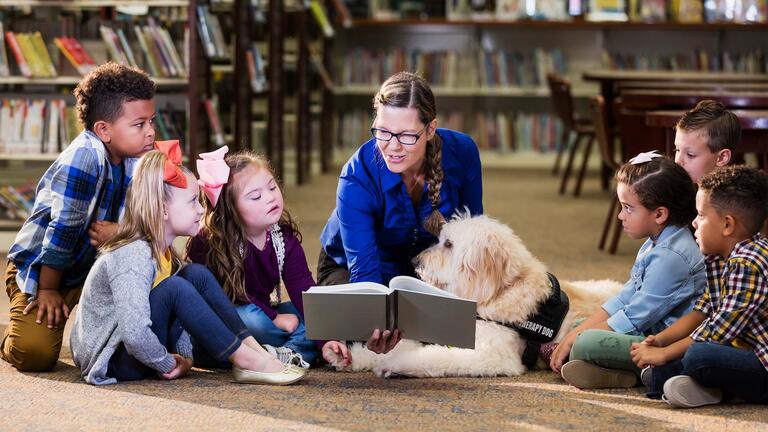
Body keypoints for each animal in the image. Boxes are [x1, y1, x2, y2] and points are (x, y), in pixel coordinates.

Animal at [328, 214, 620, 376]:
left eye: (448, 244)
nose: (415, 261)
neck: (500, 293)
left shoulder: (492, 354)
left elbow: (434, 356)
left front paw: (393, 362)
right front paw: (350, 356)